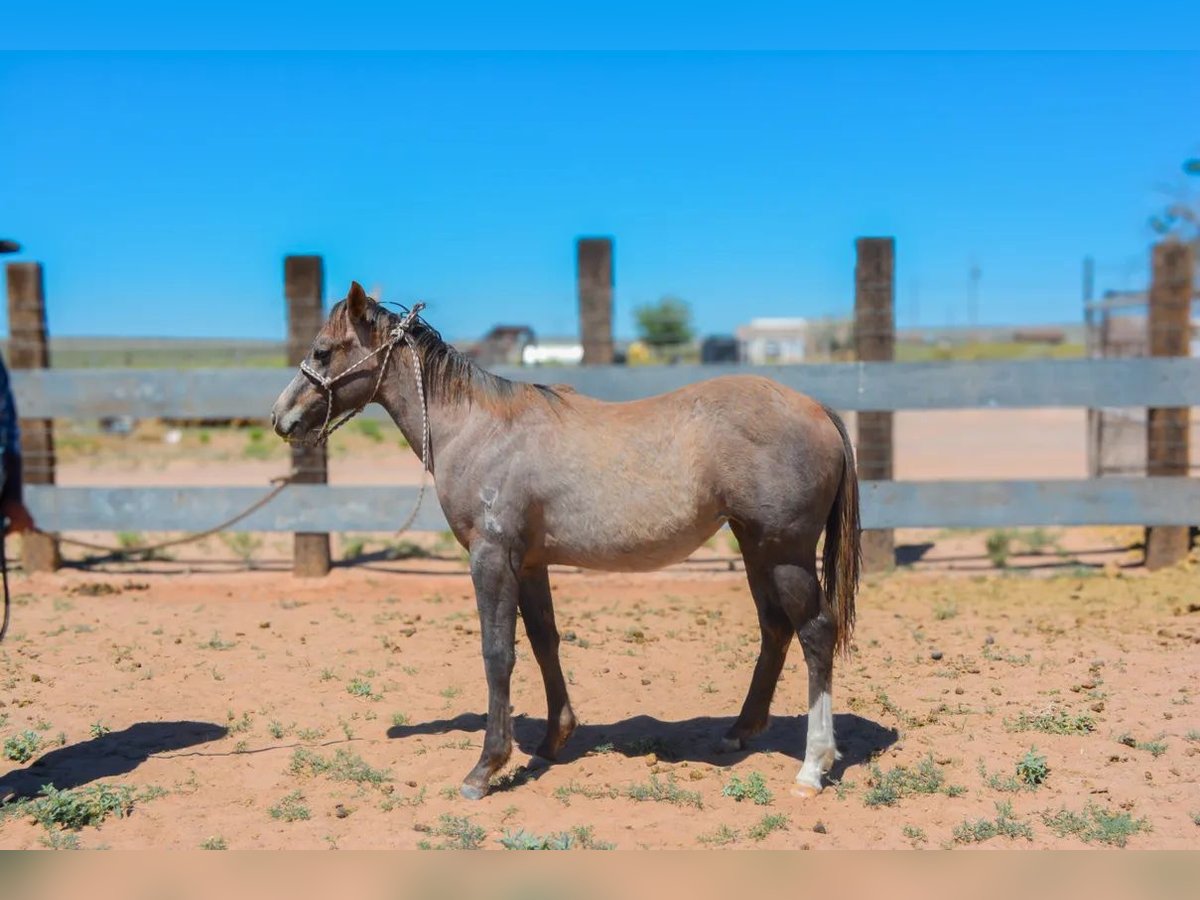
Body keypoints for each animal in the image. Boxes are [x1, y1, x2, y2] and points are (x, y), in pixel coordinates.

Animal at [270, 283, 864, 801]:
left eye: (323, 350)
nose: (281, 417)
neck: (480, 429)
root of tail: (819, 410)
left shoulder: (492, 558)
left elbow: (497, 653)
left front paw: (486, 768)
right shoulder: (530, 563)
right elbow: (543, 641)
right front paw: (554, 738)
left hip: (786, 554)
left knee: (815, 632)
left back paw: (813, 767)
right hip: (756, 548)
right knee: (774, 628)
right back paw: (740, 731)